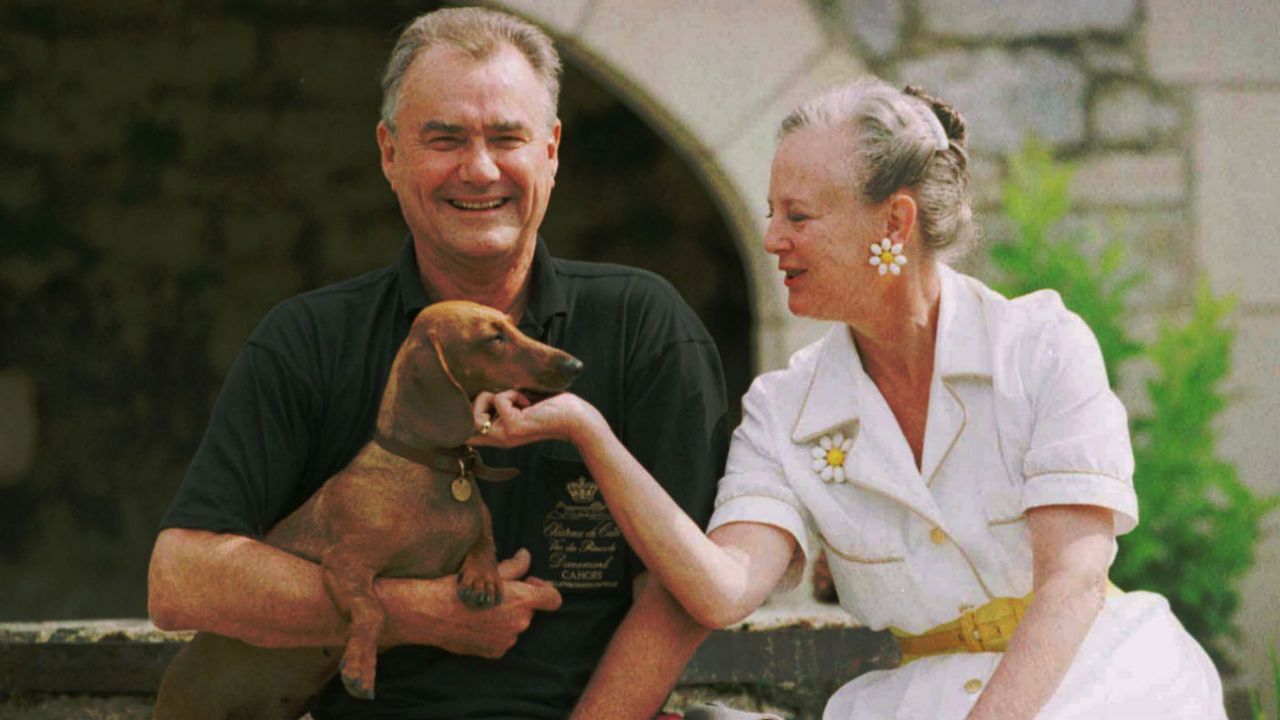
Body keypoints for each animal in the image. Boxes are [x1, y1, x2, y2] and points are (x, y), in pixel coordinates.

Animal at [151, 299, 586, 712]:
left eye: (512, 326)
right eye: (494, 338)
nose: (575, 364)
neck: (434, 468)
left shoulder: (476, 531)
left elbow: (483, 544)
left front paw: (483, 579)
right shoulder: (345, 565)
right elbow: (372, 608)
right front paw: (360, 668)